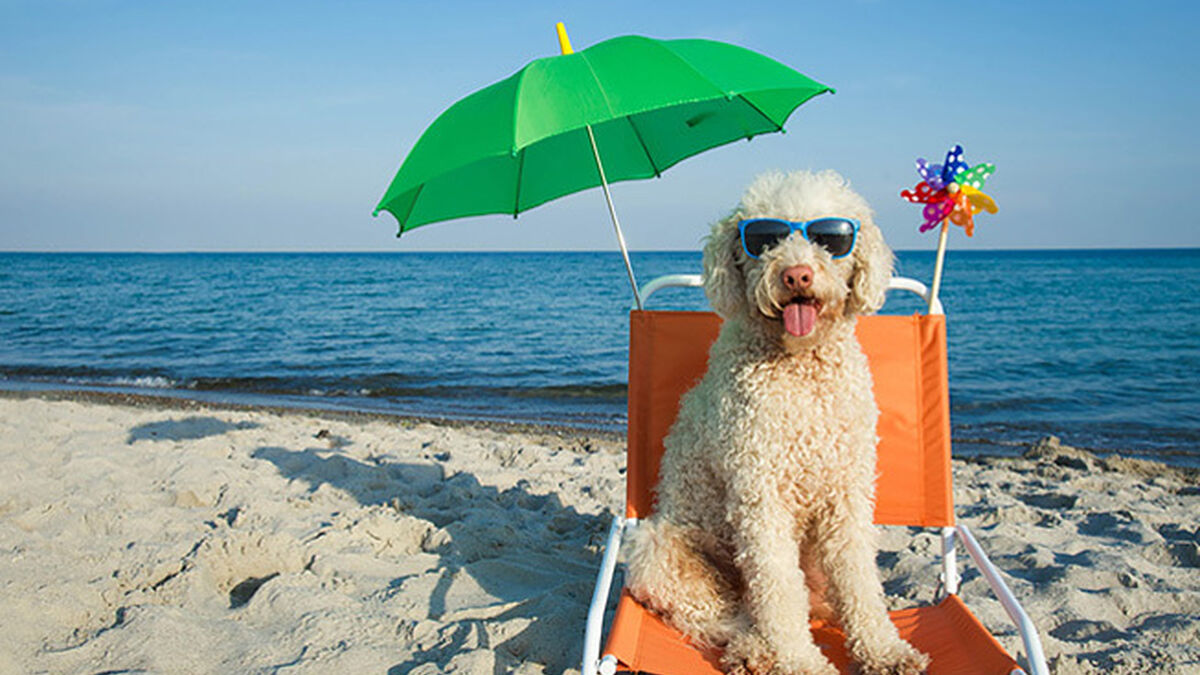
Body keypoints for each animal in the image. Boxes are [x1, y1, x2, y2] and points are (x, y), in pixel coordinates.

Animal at [624, 169, 931, 672]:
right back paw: (754, 650)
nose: (796, 274)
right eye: (764, 240)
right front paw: (800, 661)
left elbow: (859, 581)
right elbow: (778, 591)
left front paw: (883, 650)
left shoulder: (846, 495)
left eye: (830, 239)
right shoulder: (760, 498)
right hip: (661, 549)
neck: (801, 368)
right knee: (723, 615)